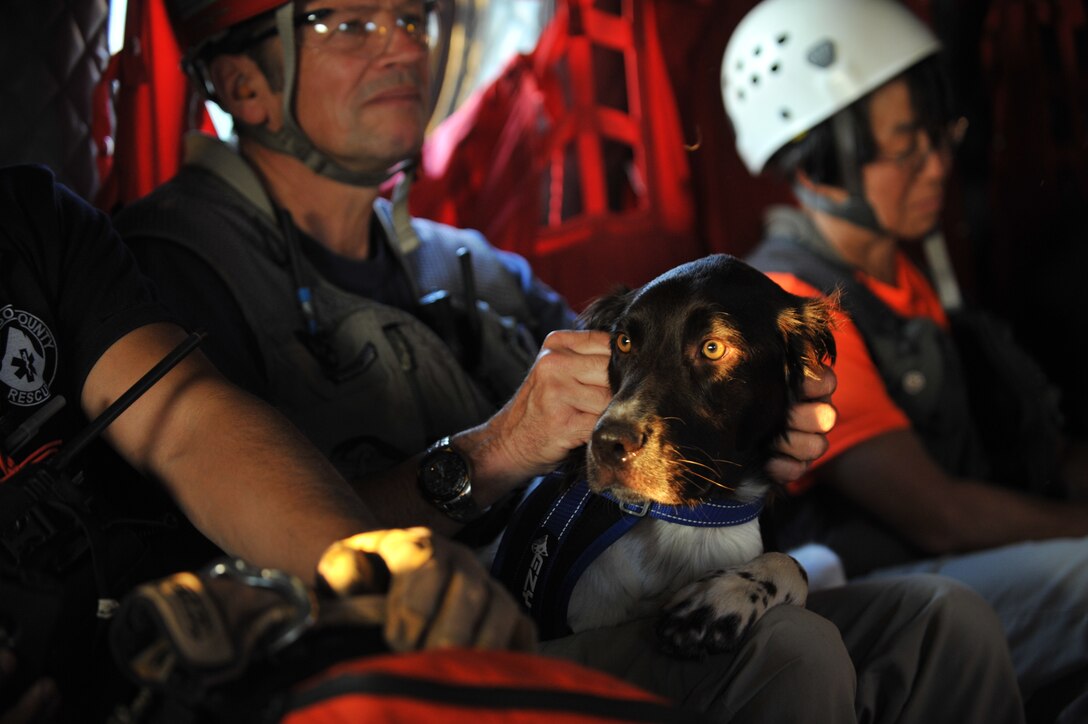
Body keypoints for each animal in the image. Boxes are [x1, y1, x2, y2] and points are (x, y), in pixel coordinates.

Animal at [489, 253, 835, 653]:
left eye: (713, 348)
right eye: (624, 343)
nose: (608, 444)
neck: (688, 519)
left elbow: (795, 565)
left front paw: (721, 598)